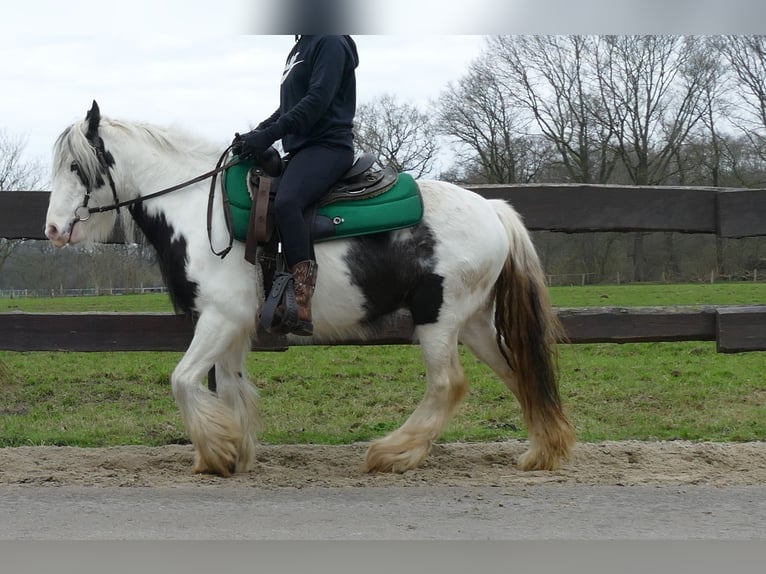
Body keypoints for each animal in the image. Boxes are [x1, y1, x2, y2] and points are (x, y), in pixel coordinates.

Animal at [43, 102, 576, 476]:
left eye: (77, 167)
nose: (52, 229)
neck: (200, 208)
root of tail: (495, 210)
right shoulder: (234, 326)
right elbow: (231, 386)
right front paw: (236, 452)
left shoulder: (219, 318)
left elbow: (183, 380)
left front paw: (217, 453)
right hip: (474, 322)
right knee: (519, 372)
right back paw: (542, 453)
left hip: (438, 319)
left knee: (448, 384)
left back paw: (393, 454)